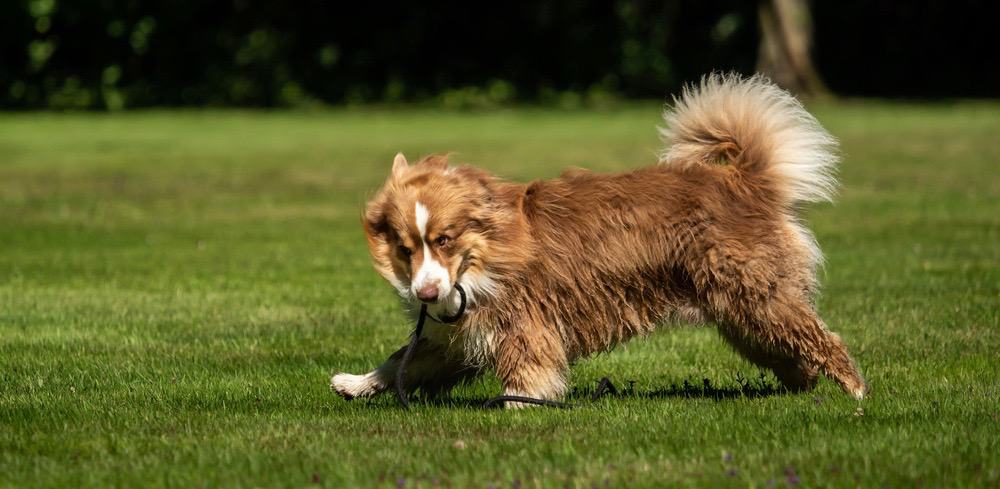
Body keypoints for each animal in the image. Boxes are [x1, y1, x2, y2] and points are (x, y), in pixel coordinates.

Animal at [332, 73, 864, 408]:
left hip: (758, 299)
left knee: (824, 340)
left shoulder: (524, 326)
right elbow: (403, 362)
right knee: (792, 356)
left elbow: (525, 375)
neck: (486, 257)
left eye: (444, 239)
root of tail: (743, 180)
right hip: (740, 315)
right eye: (406, 249)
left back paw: (858, 397)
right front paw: (354, 383)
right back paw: (800, 391)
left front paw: (519, 408)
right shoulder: (461, 337)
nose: (425, 293)